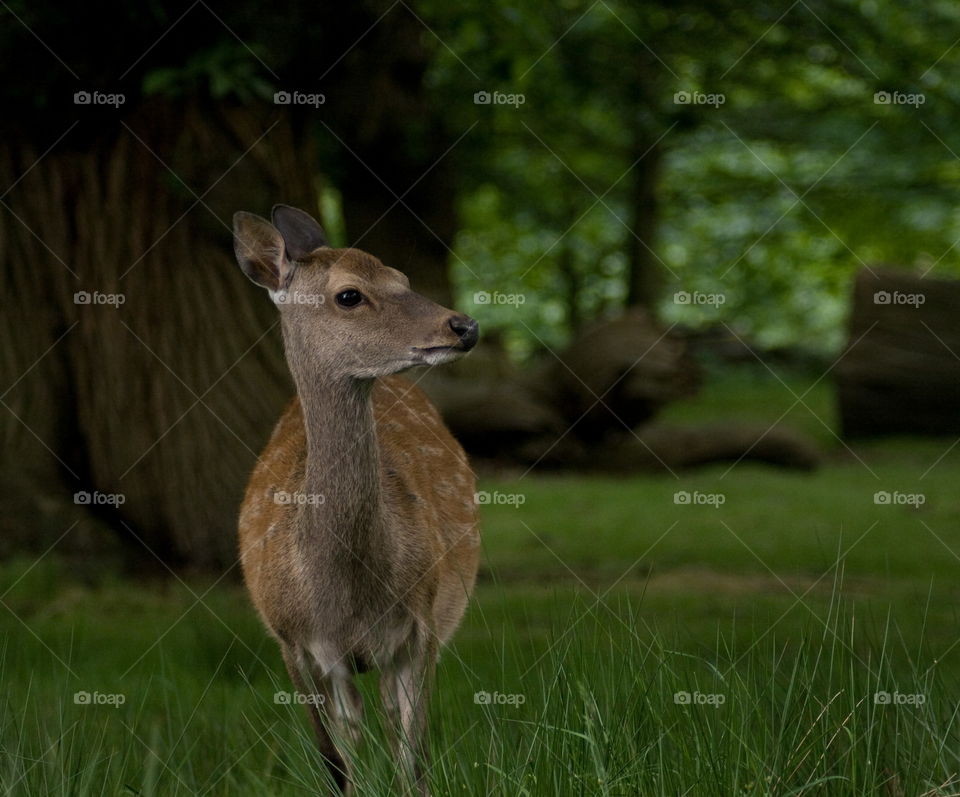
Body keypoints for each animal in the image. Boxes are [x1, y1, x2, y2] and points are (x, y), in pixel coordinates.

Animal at [230, 202, 484, 792]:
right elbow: (334, 759)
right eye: (349, 295)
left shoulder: (422, 625)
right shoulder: (293, 642)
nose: (464, 326)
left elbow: (413, 754)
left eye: (402, 278)